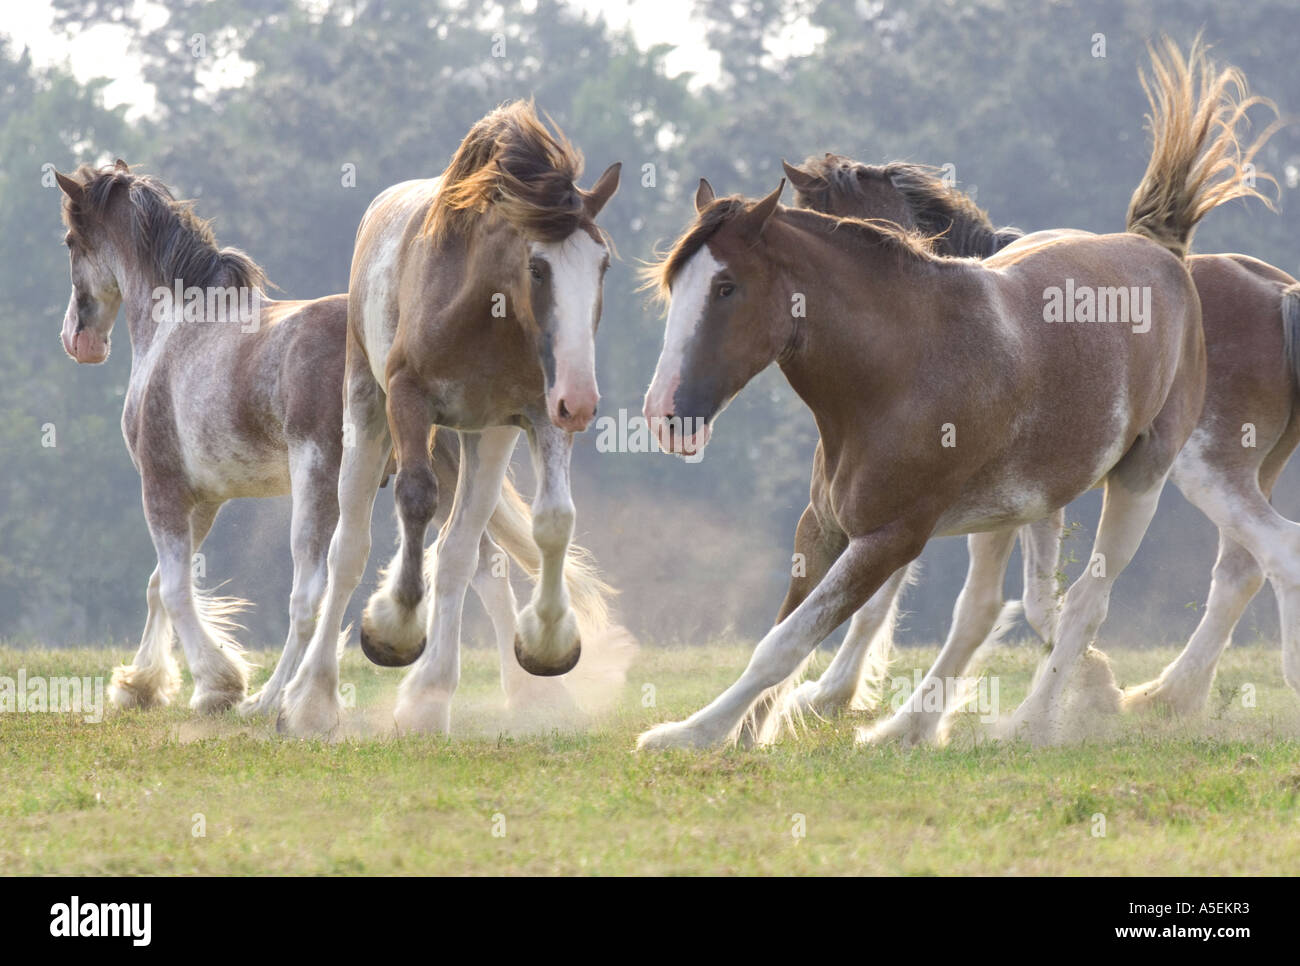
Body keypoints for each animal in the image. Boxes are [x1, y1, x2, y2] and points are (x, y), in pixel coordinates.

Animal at [52, 160, 609, 718]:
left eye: (70, 241)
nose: (78, 341)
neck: (177, 328)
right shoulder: (204, 500)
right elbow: (159, 585)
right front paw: (140, 684)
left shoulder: (164, 487)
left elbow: (173, 589)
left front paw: (217, 684)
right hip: (441, 471)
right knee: (480, 566)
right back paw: (521, 694)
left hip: (321, 481)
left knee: (311, 592)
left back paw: (275, 699)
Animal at [278, 100, 622, 736]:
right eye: (538, 268)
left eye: (603, 265)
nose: (582, 401)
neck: (479, 308)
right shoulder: (409, 400)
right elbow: (415, 499)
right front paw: (392, 627)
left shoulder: (528, 417)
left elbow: (552, 521)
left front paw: (548, 643)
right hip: (367, 415)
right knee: (348, 550)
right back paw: (310, 700)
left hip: (481, 440)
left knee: (464, 552)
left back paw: (430, 697)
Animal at [635, 39, 1266, 750]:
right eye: (675, 283)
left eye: (726, 288)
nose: (664, 414)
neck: (901, 368)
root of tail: (1161, 253)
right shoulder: (824, 526)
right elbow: (787, 633)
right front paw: (748, 731)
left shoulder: (891, 536)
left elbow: (785, 643)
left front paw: (694, 734)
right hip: (1019, 505)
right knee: (991, 610)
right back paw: (908, 729)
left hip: (1143, 478)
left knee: (1085, 604)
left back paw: (1031, 724)